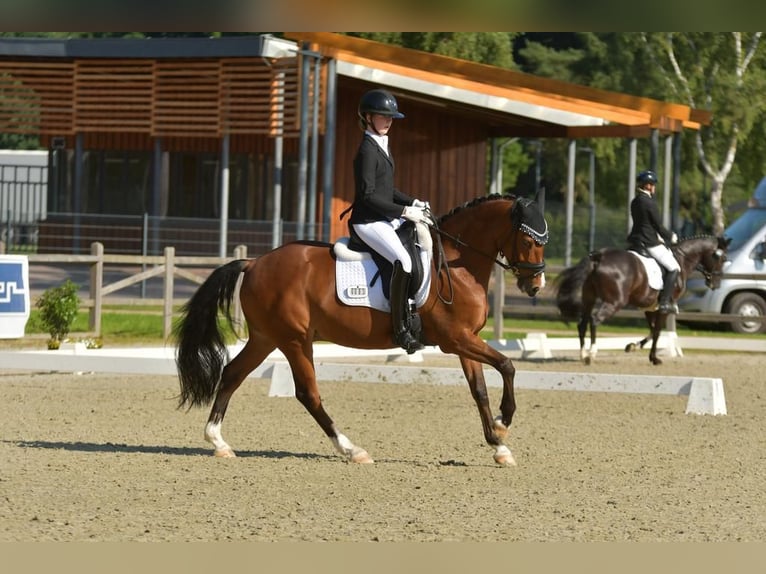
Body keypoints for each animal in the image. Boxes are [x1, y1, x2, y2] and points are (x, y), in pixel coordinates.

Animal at [174, 194, 549, 467]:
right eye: (529, 241)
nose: (535, 286)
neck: (458, 263)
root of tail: (254, 263)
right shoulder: (455, 338)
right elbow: (507, 365)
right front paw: (504, 422)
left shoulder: (464, 339)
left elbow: (480, 390)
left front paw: (498, 445)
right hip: (294, 340)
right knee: (307, 393)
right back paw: (352, 450)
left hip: (267, 338)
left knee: (233, 374)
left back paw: (218, 441)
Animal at [554, 235, 730, 366]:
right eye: (721, 258)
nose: (715, 284)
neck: (682, 259)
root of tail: (599, 257)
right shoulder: (664, 307)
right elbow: (657, 331)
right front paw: (654, 358)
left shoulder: (650, 307)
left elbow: (652, 331)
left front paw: (632, 346)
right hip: (614, 303)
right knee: (595, 320)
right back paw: (592, 354)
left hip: (589, 299)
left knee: (582, 323)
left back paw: (583, 354)